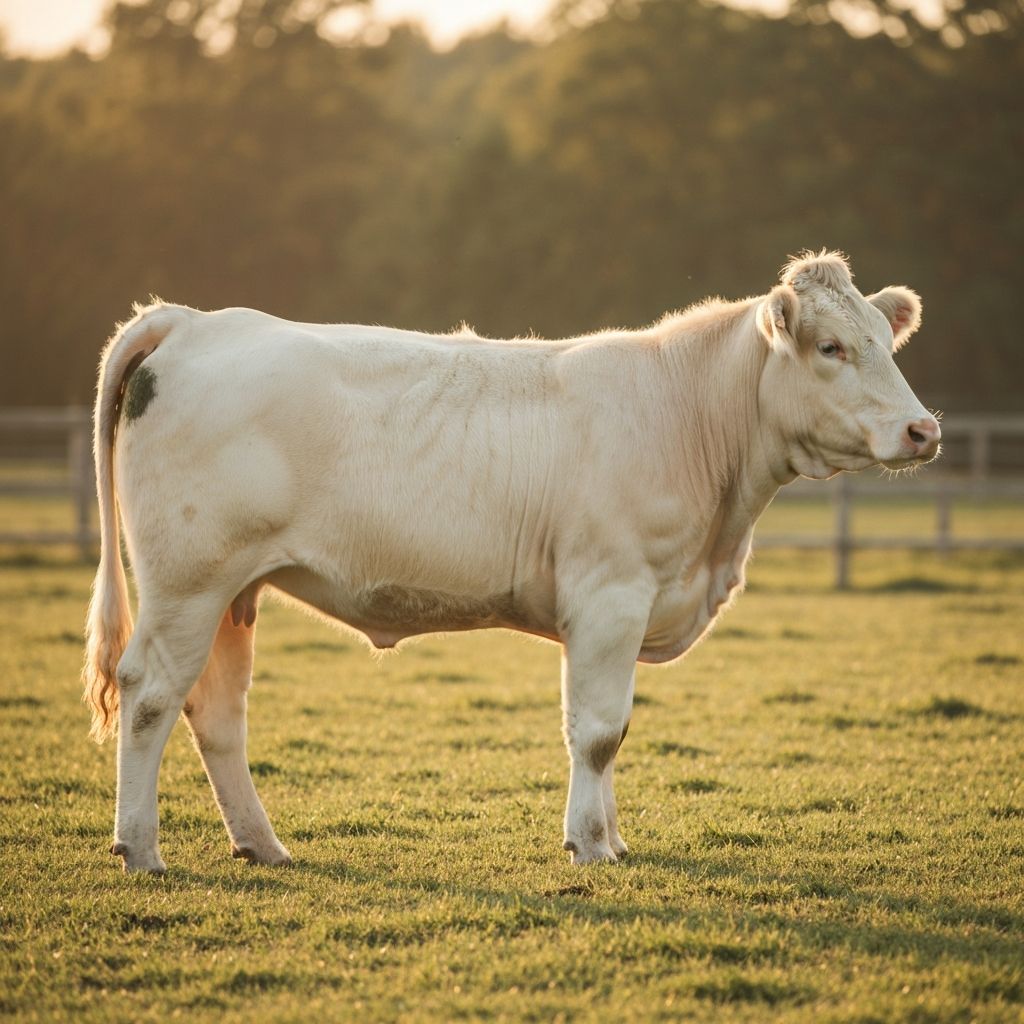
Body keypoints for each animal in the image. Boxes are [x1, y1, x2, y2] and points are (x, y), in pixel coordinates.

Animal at [83, 251, 940, 873]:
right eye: (831, 347)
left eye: (887, 341)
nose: (923, 429)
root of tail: (196, 321)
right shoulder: (610, 595)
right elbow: (598, 731)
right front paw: (590, 846)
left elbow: (612, 728)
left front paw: (612, 837)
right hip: (187, 581)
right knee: (150, 695)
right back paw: (142, 849)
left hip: (233, 590)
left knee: (216, 710)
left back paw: (261, 845)